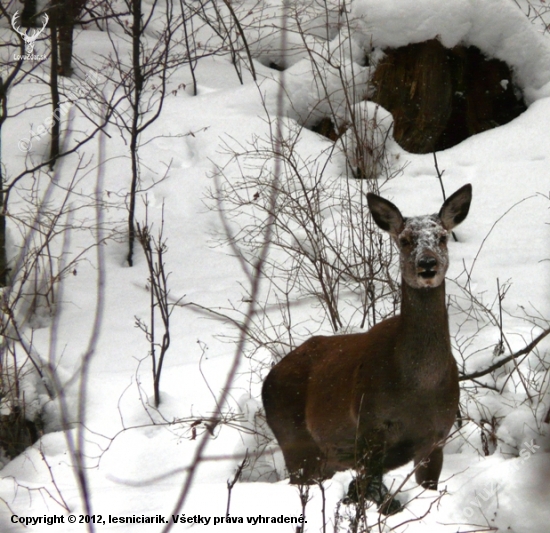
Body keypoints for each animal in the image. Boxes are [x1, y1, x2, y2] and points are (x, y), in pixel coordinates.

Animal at [264, 183, 474, 512]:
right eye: (404, 240)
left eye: (441, 236)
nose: (427, 265)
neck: (419, 386)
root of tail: (268, 378)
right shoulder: (369, 428)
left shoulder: (437, 436)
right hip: (295, 442)